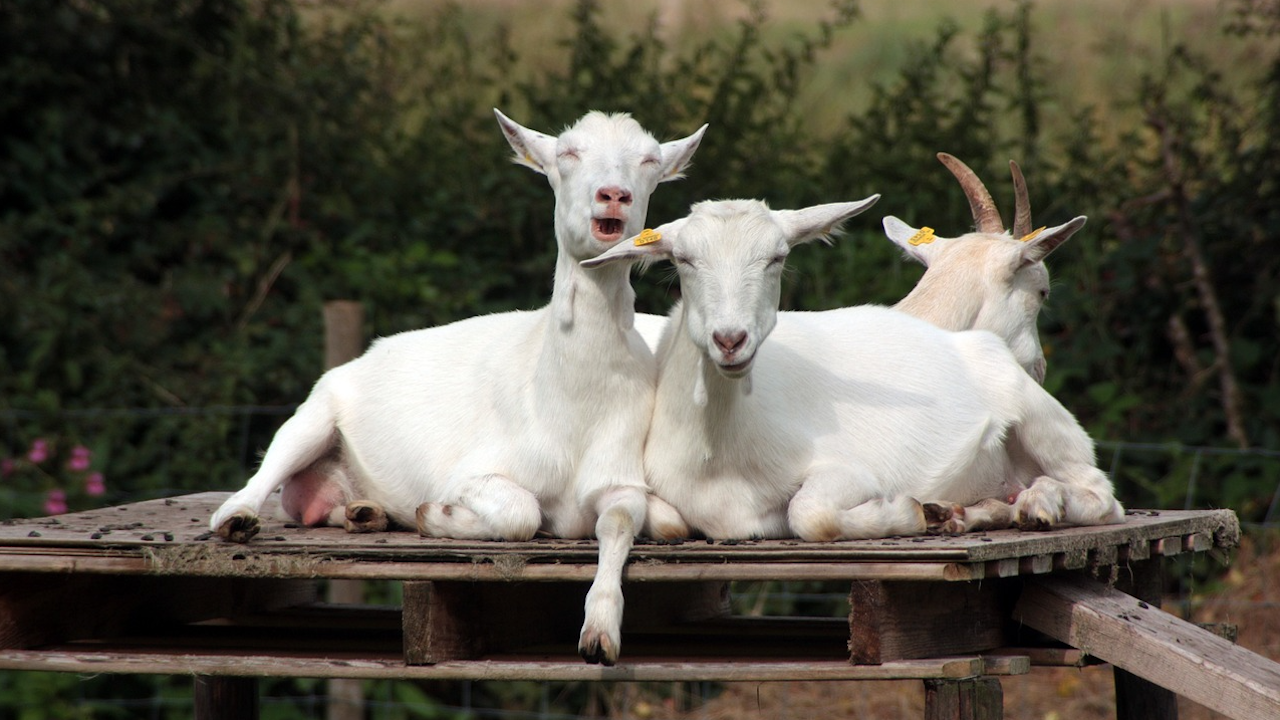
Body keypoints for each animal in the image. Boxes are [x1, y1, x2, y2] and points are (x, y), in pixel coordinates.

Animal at [211, 109, 711, 666]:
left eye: (649, 161)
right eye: (566, 153)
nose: (614, 195)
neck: (567, 409)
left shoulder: (619, 473)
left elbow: (625, 523)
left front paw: (599, 633)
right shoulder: (469, 470)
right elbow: (520, 513)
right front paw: (436, 515)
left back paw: (364, 513)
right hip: (317, 410)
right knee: (267, 470)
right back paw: (239, 518)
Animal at [586, 196, 1126, 538]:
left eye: (777, 257)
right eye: (682, 259)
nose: (730, 339)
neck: (720, 453)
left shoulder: (850, 470)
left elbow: (809, 513)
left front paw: (909, 510)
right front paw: (934, 512)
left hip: (1041, 419)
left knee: (1101, 492)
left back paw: (1039, 503)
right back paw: (975, 512)